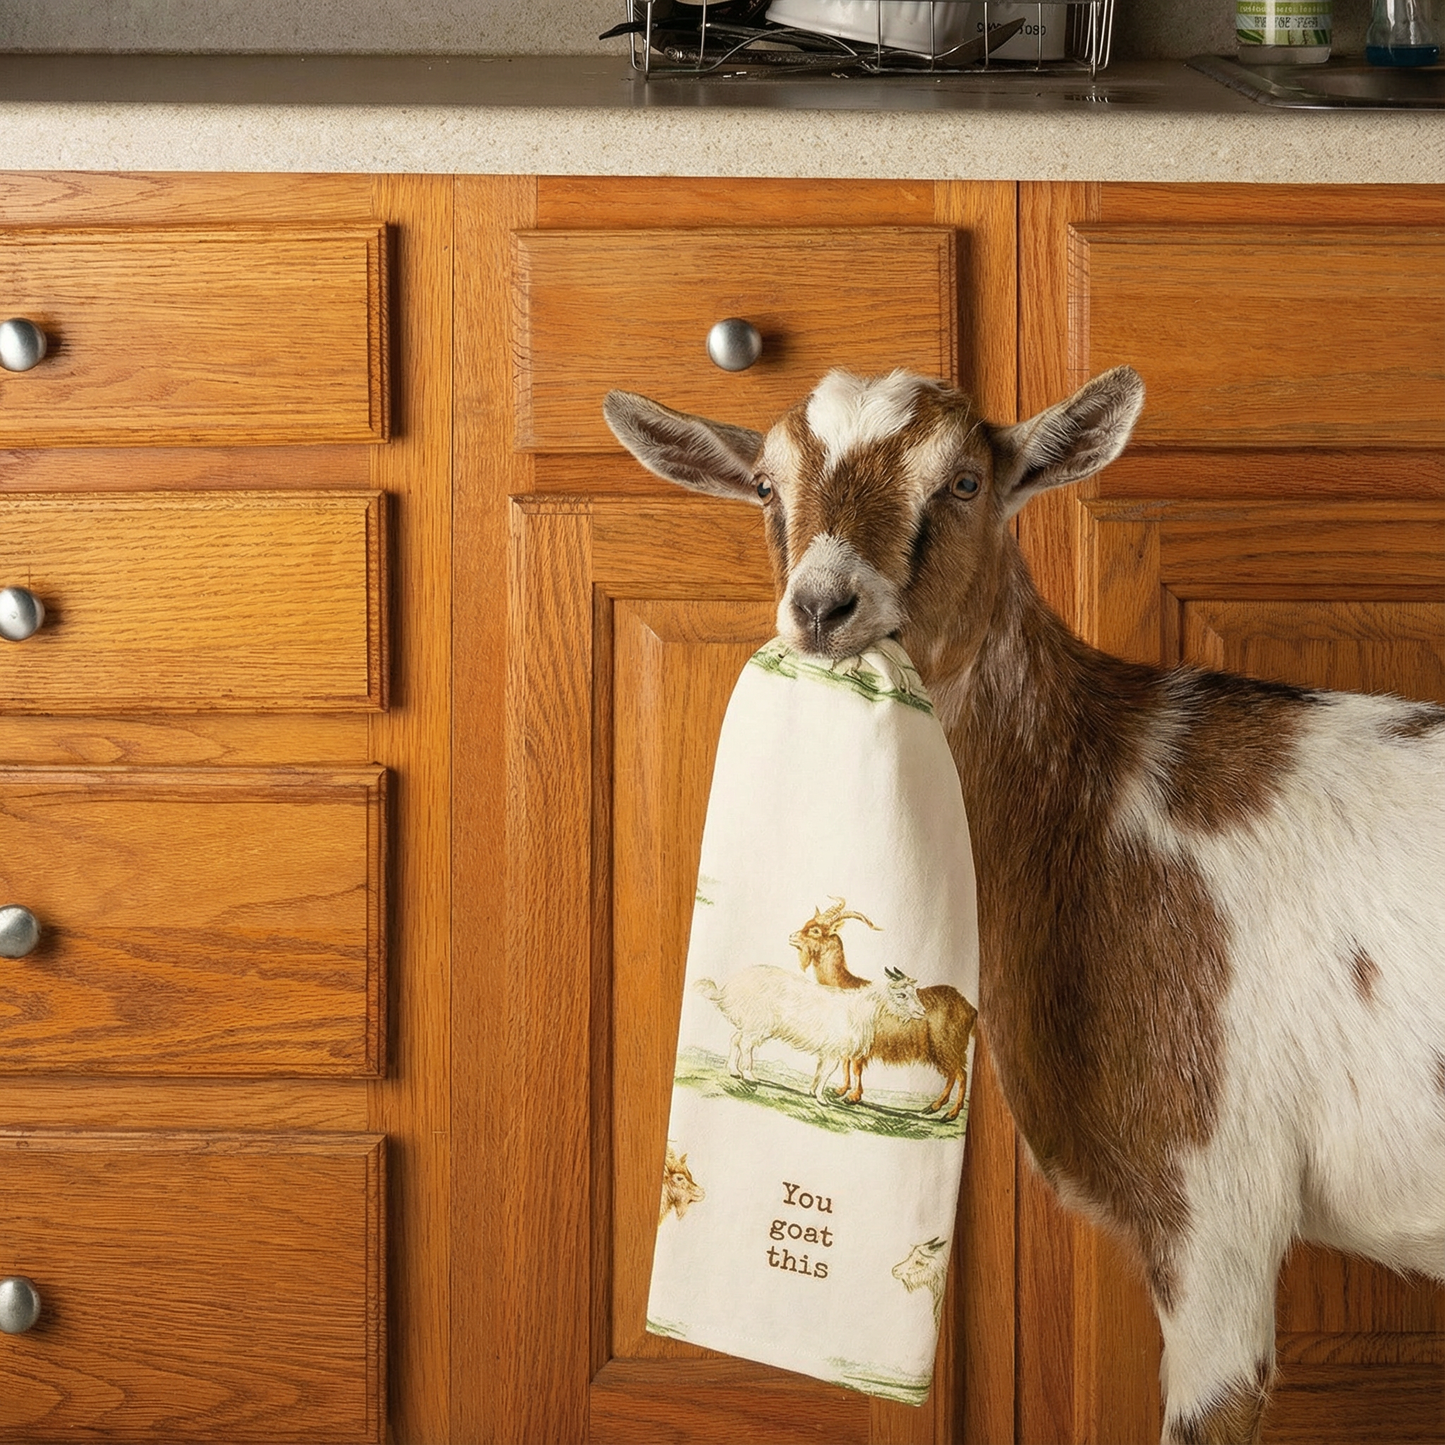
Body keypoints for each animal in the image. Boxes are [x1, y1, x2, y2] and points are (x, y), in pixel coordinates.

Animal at [695, 964, 926, 1102]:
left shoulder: (827, 1050)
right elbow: (828, 1071)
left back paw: (734, 1071)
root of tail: (728, 990)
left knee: (735, 1039)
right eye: (902, 994)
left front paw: (812, 1091)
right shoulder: (834, 1049)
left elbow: (820, 1070)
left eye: (914, 992)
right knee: (745, 1044)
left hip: (751, 1023)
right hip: (758, 1022)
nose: (922, 1012)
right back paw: (750, 1075)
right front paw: (821, 1099)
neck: (858, 1009)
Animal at [792, 896, 977, 1119]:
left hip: (948, 1045)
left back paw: (951, 1113)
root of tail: (971, 1008)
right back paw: (933, 1107)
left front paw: (853, 1097)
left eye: (816, 930)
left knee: (961, 1073)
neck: (847, 986)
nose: (792, 936)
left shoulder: (862, 1044)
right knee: (951, 1074)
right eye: (808, 923)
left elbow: (855, 1067)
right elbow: (846, 1064)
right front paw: (841, 1090)